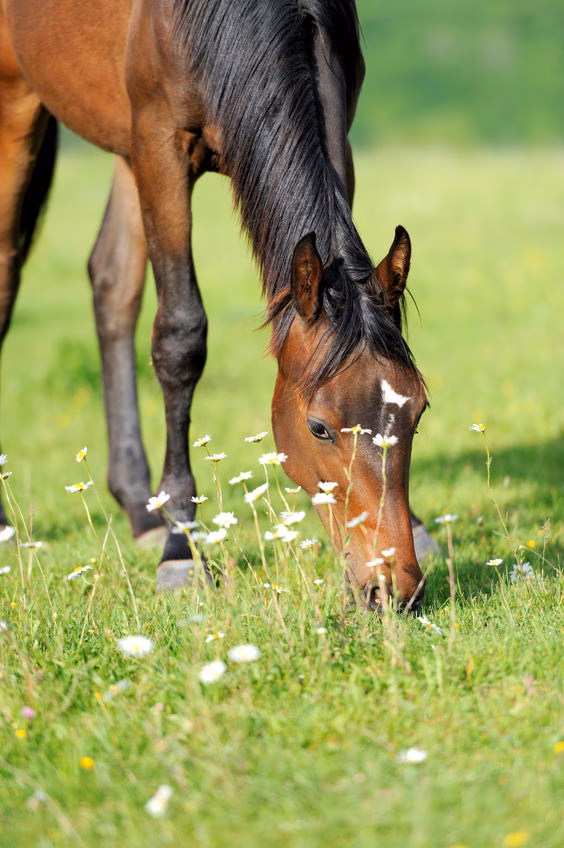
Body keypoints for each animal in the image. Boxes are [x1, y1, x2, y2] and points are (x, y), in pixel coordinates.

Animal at [0, 0, 431, 610]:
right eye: (319, 428)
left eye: (418, 411)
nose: (396, 588)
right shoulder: (160, 143)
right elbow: (180, 338)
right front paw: (182, 547)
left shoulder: (336, 129)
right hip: (21, 106)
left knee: (112, 283)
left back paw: (140, 508)